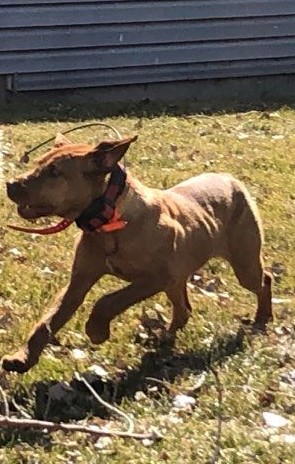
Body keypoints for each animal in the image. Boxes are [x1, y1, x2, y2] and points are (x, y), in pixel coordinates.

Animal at [1, 131, 272, 374]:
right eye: (38, 163)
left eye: (55, 172)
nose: (10, 184)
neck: (109, 221)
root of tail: (229, 178)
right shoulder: (78, 281)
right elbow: (46, 323)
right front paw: (21, 358)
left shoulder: (156, 277)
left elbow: (109, 299)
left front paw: (96, 330)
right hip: (178, 279)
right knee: (183, 310)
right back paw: (163, 339)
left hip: (243, 263)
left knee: (264, 280)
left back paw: (262, 318)